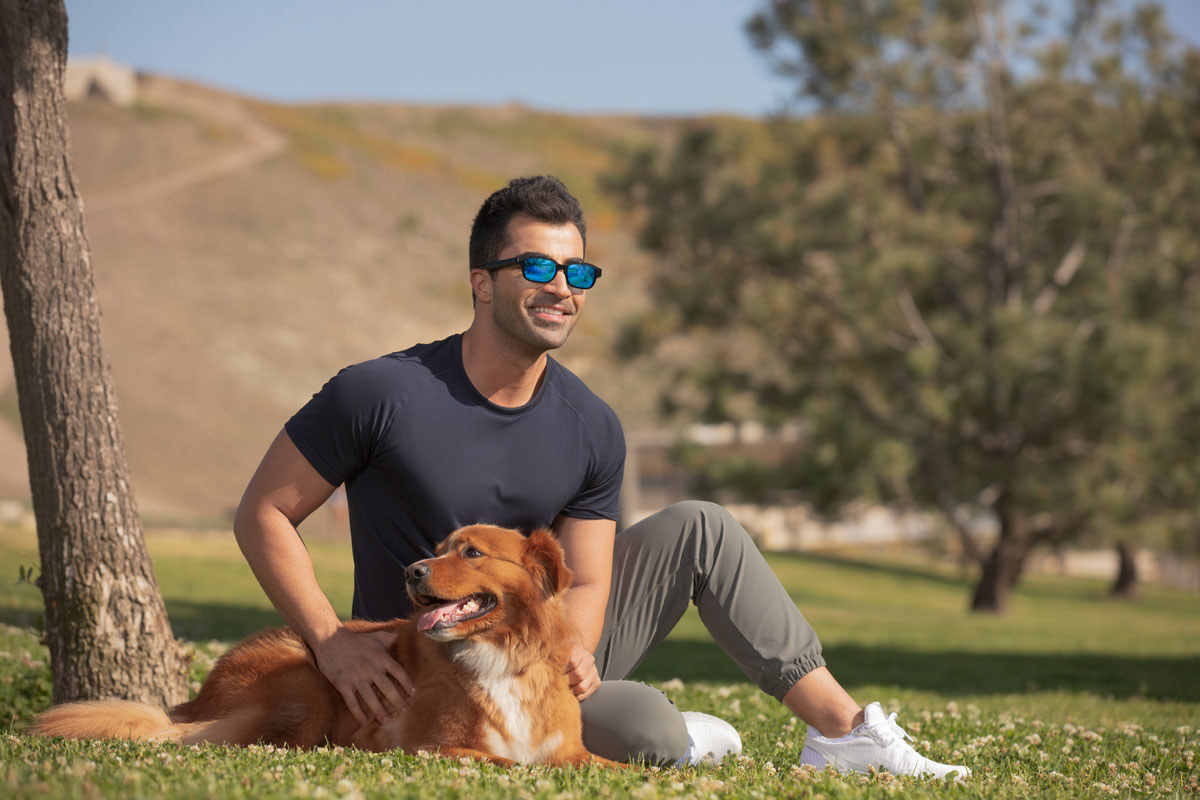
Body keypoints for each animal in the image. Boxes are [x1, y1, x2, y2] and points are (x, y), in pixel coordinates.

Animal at [34, 525, 624, 767]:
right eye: (438, 549)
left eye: (472, 552)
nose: (412, 571)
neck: (503, 656)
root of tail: (199, 695)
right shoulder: (433, 747)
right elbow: (516, 765)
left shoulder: (571, 752)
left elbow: (622, 767)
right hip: (306, 681)